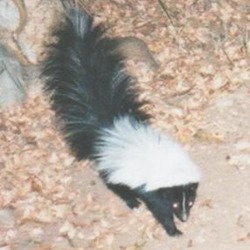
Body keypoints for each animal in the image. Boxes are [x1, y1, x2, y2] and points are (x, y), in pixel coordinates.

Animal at [41, 6, 201, 236]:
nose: (185, 217)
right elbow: (158, 208)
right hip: (113, 169)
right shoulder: (150, 188)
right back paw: (132, 201)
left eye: (188, 202)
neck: (168, 165)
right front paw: (173, 230)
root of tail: (108, 128)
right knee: (113, 184)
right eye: (175, 203)